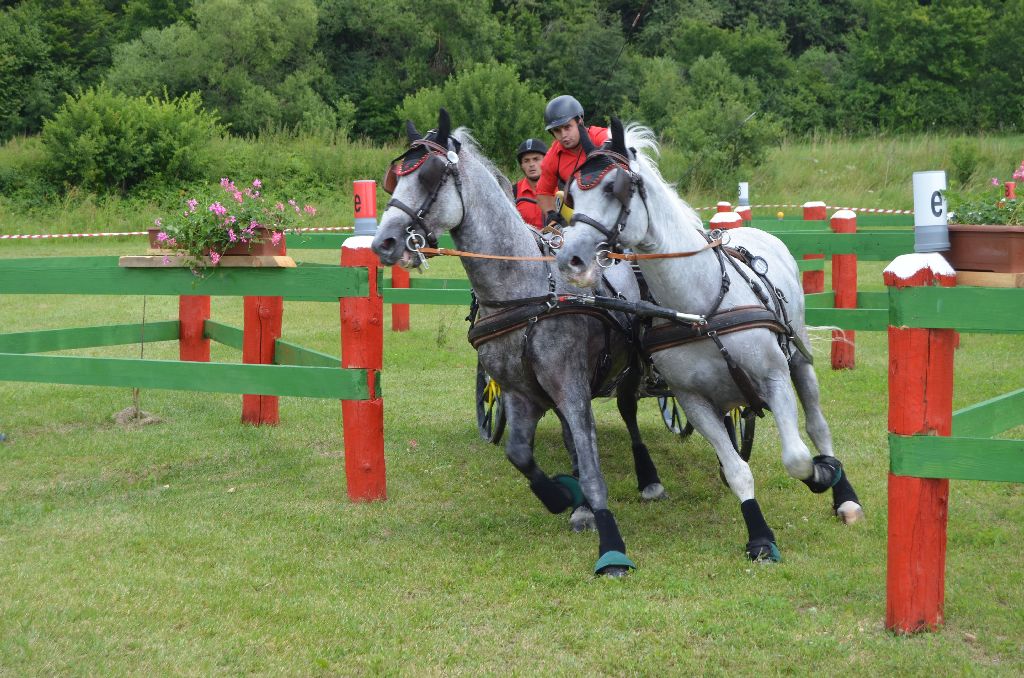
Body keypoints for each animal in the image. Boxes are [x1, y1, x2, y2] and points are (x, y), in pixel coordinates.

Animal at [372, 109, 659, 577]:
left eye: (430, 176)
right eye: (395, 178)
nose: (384, 242)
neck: (524, 291)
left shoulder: (572, 387)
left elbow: (592, 466)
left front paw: (610, 545)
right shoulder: (520, 391)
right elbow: (520, 453)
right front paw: (562, 497)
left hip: (632, 367)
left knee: (629, 412)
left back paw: (649, 478)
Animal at [557, 119, 860, 565]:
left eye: (615, 188)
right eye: (571, 196)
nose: (570, 261)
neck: (700, 307)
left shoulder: (774, 378)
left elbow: (797, 458)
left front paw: (821, 473)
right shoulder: (693, 400)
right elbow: (737, 471)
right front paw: (759, 536)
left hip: (799, 360)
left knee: (817, 425)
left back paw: (843, 494)